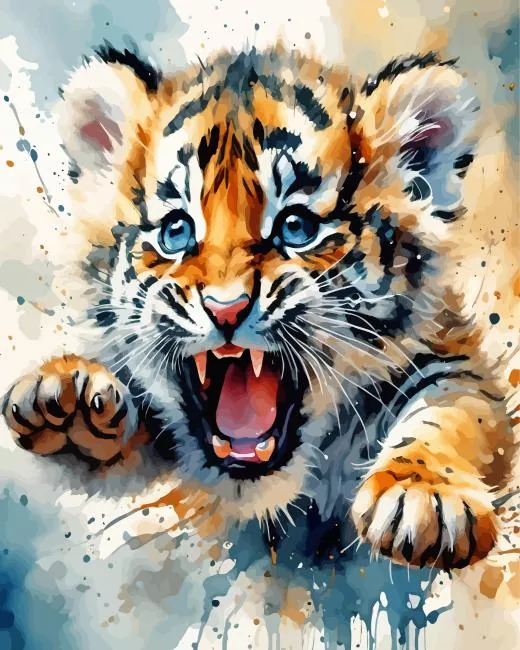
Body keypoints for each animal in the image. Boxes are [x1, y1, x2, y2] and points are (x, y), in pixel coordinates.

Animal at [2, 43, 517, 572]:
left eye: (296, 227)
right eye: (175, 231)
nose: (226, 309)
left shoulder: (451, 355)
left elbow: (453, 411)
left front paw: (424, 497)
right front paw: (68, 398)